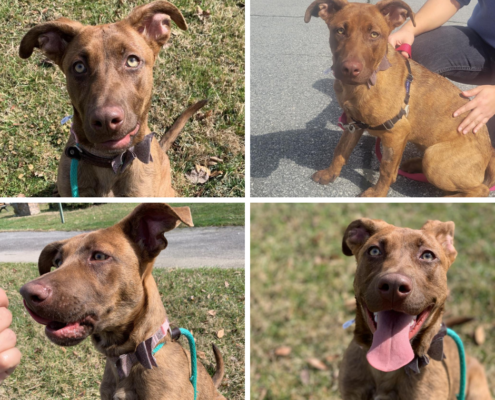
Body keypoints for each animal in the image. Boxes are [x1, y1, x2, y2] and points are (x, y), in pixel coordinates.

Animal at [304, 0, 495, 197]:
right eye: (340, 31)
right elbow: (341, 150)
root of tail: (490, 152)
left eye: (374, 34)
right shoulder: (353, 123)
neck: (367, 82)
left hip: (435, 160)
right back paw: (414, 164)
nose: (350, 69)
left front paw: (377, 194)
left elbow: (386, 170)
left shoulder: (396, 133)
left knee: (481, 189)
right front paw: (330, 173)